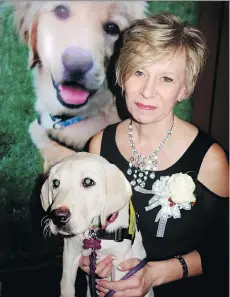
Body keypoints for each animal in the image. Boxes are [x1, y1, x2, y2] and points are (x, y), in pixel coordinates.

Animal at [40, 153, 154, 296]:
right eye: (55, 183)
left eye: (88, 182)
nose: (58, 217)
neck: (94, 232)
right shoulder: (70, 253)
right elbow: (66, 286)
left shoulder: (120, 263)